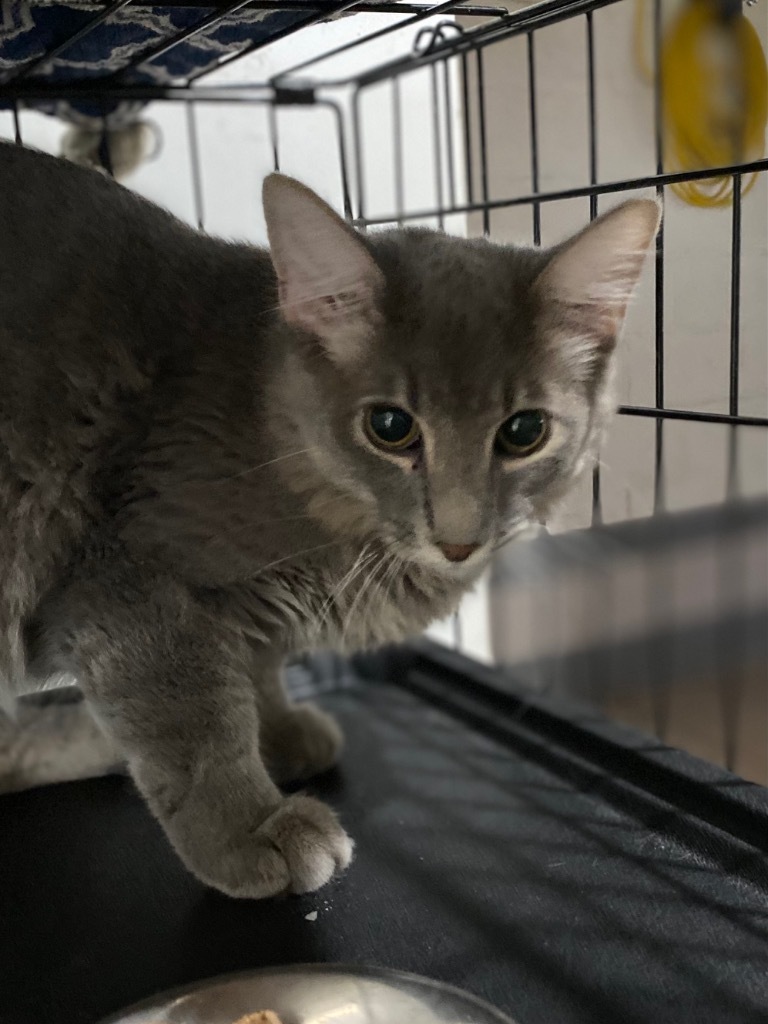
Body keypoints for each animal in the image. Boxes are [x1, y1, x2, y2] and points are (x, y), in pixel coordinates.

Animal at [1, 142, 663, 897]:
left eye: (525, 432)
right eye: (390, 427)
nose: (458, 540)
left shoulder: (239, 616)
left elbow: (256, 674)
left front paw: (279, 736)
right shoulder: (128, 584)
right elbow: (196, 721)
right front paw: (249, 825)